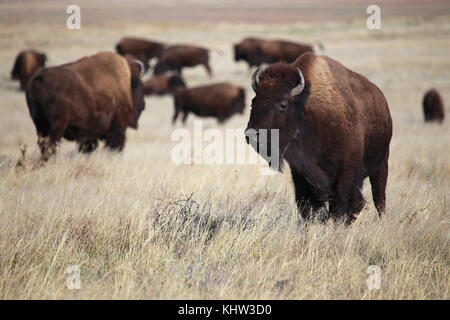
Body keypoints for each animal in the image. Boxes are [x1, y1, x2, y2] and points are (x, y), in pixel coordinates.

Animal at [248, 52, 392, 224]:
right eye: (253, 102)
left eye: (283, 104)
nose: (252, 134)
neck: (306, 111)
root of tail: (381, 98)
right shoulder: (301, 175)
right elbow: (307, 207)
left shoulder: (346, 173)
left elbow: (341, 207)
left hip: (381, 164)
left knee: (379, 198)